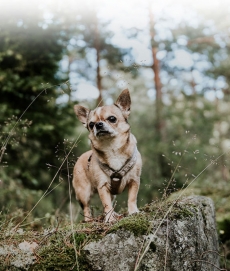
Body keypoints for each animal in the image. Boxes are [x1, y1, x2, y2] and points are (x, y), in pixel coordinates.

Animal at [73, 89, 142, 223]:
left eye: (112, 118)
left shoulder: (134, 181)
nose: (98, 125)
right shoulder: (102, 186)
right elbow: (106, 204)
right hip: (83, 192)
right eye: (91, 124)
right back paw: (89, 220)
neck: (112, 148)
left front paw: (133, 212)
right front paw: (109, 219)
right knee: (86, 207)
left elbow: (132, 198)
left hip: (111, 194)